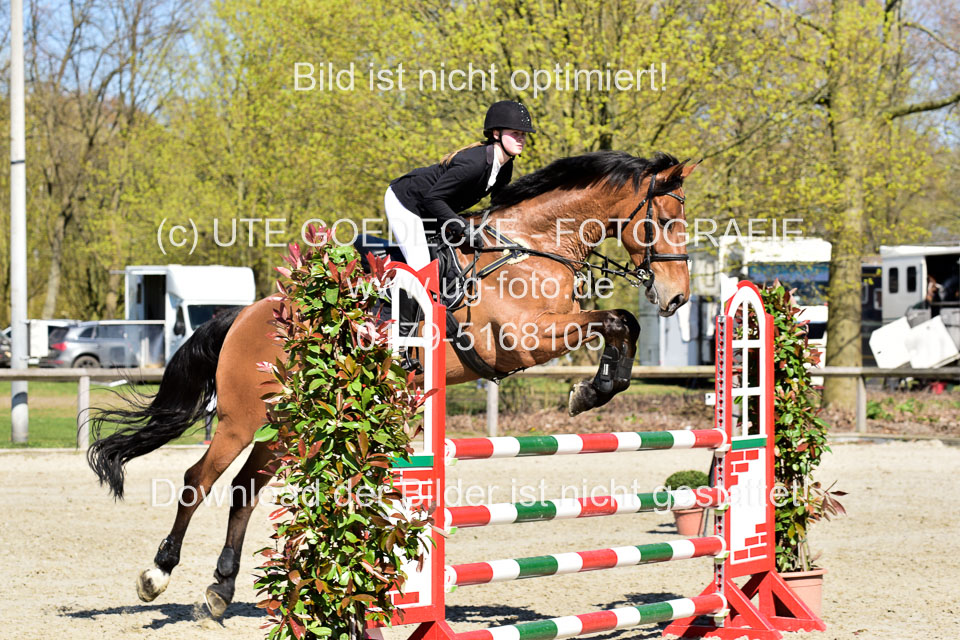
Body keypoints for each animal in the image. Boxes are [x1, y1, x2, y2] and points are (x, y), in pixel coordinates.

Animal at [86, 150, 696, 617]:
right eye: (664, 222)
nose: (677, 298)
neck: (531, 246)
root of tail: (244, 315)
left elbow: (623, 321)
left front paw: (598, 387)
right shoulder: (522, 341)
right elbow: (614, 320)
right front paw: (589, 390)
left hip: (284, 424)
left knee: (244, 490)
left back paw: (219, 590)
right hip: (242, 418)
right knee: (198, 480)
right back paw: (157, 575)